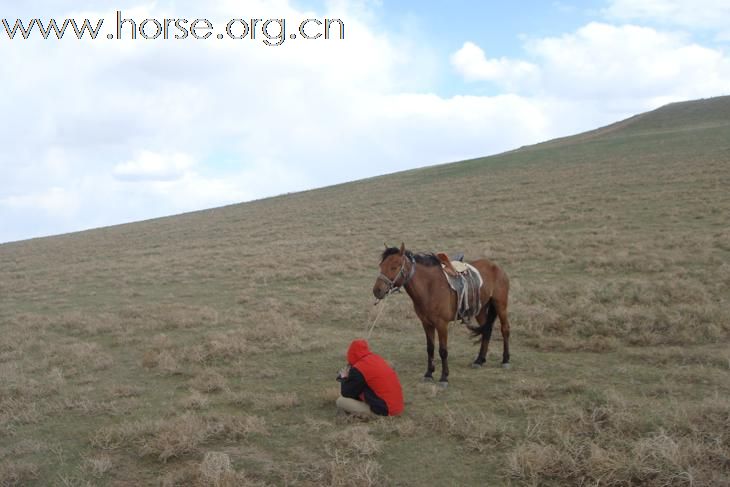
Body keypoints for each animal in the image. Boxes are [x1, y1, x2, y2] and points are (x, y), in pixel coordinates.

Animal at [372, 244, 510, 386]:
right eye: (381, 265)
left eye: (394, 266)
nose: (377, 290)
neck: (429, 287)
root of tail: (496, 266)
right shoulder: (426, 323)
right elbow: (430, 348)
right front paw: (429, 374)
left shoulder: (441, 324)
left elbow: (443, 351)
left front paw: (444, 377)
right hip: (480, 309)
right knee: (487, 330)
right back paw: (479, 360)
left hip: (500, 305)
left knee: (505, 329)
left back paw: (505, 360)